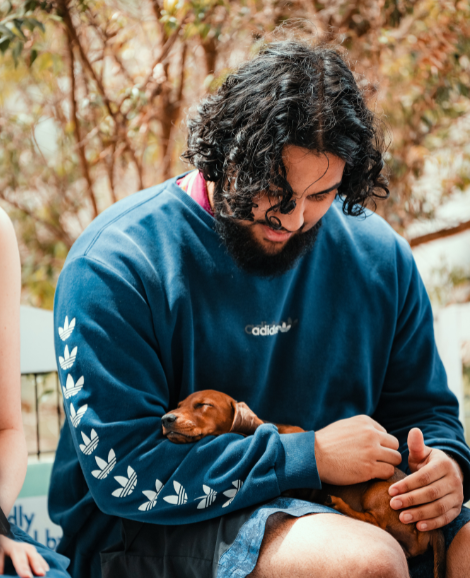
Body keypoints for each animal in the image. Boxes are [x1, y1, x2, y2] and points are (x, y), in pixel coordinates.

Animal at [162, 390, 444, 572]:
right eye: (179, 403)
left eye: (204, 405)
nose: (166, 419)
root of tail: (433, 530)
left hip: (377, 491)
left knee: (376, 521)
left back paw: (339, 503)